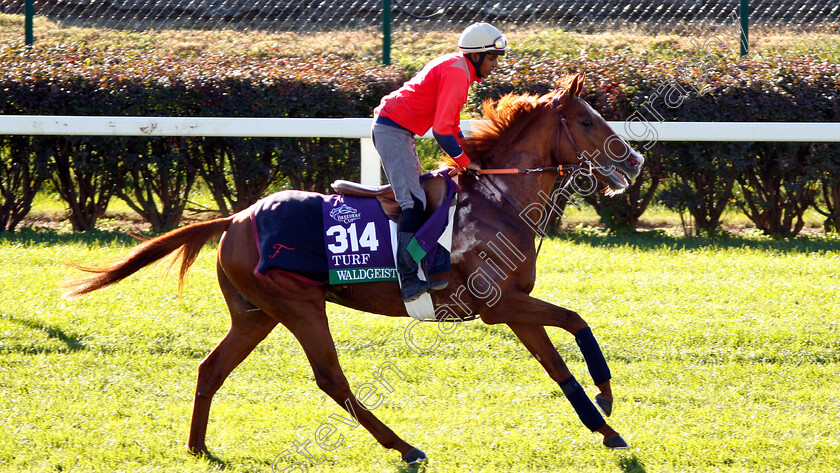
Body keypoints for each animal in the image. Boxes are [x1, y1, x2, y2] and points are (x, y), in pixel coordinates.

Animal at [65, 74, 644, 464]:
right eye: (588, 120)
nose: (635, 161)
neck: (499, 200)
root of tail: (236, 216)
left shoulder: (512, 307)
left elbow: (558, 363)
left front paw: (605, 426)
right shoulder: (499, 304)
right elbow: (575, 322)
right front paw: (607, 396)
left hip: (256, 314)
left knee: (212, 369)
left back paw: (197, 447)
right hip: (298, 305)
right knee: (330, 377)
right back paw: (405, 446)